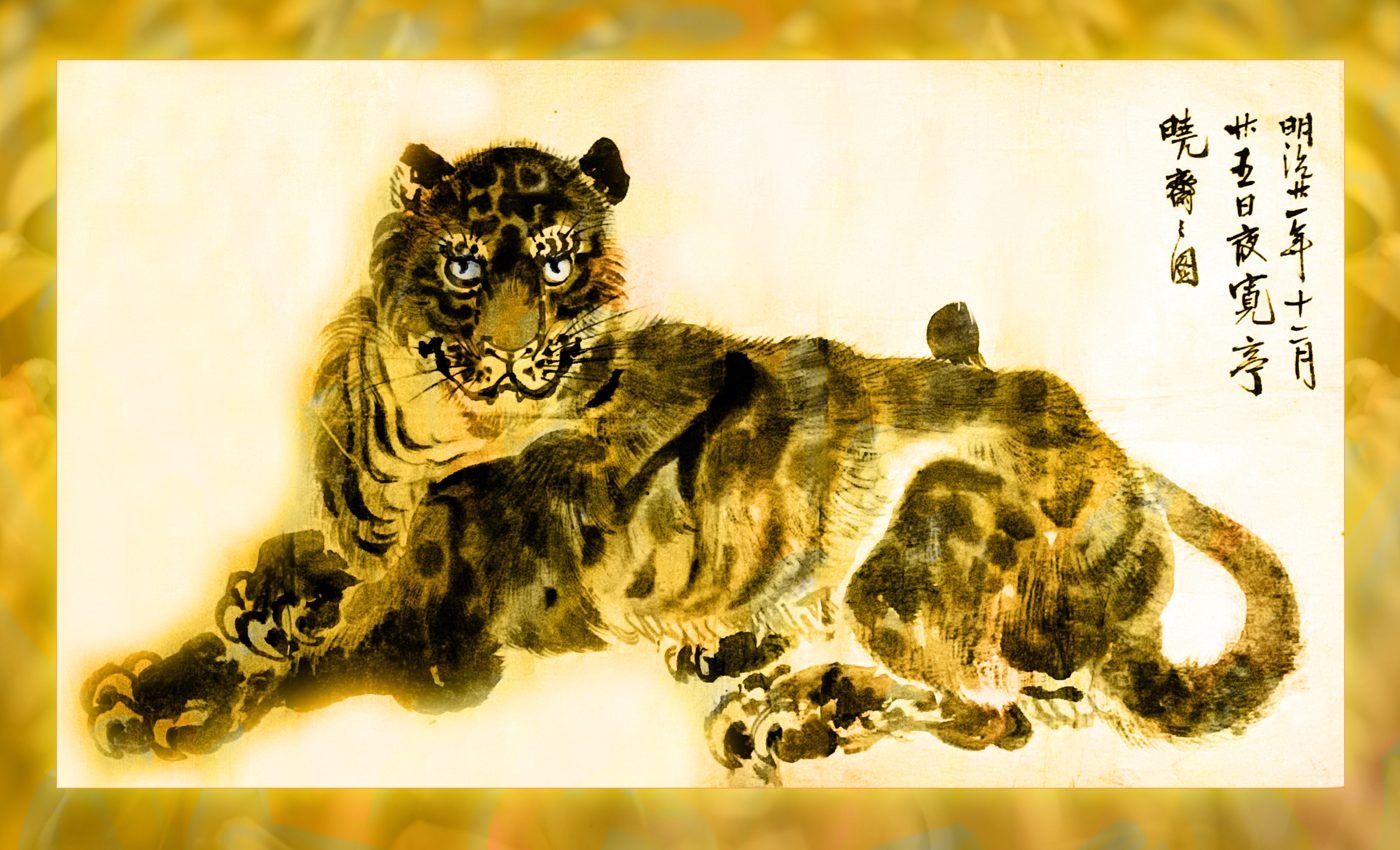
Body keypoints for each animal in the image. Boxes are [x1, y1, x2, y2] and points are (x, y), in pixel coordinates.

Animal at [81, 138, 1300, 784]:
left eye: (559, 262)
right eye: (468, 265)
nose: (512, 354)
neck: (421, 437)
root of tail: (1124, 473)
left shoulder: (440, 641)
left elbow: (307, 668)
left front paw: (166, 710)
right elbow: (301, 592)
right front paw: (248, 611)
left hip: (912, 548)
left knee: (1003, 711)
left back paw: (791, 715)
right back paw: (741, 666)